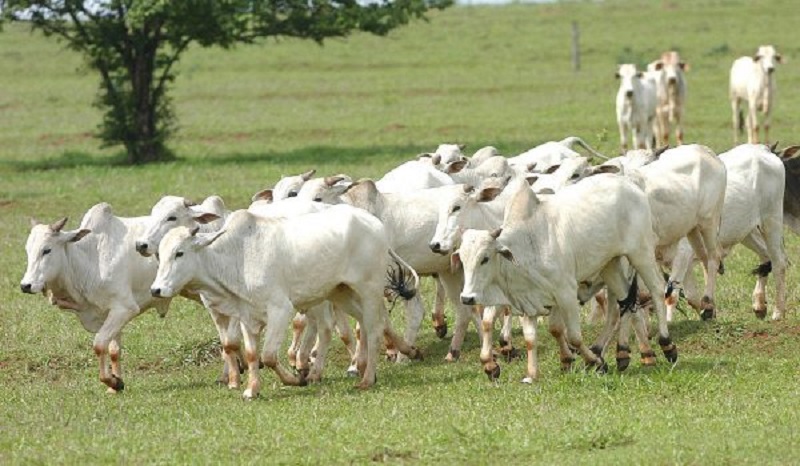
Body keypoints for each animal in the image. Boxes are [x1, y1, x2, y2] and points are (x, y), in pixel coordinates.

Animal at [19, 204, 170, 394]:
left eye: (47, 250)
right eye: (27, 250)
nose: (26, 285)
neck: (91, 260)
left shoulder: (124, 308)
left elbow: (99, 345)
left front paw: (112, 381)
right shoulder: (108, 314)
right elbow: (113, 350)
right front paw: (115, 384)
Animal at [152, 206, 424, 398]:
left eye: (179, 253)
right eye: (160, 255)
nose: (156, 289)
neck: (237, 257)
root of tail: (375, 224)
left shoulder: (280, 310)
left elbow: (269, 356)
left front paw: (296, 379)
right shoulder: (246, 316)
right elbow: (252, 354)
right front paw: (252, 389)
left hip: (368, 290)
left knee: (374, 328)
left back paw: (367, 378)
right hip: (341, 292)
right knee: (370, 324)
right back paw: (406, 352)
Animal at [450, 175, 676, 382]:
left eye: (485, 258)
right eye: (462, 259)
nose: (467, 298)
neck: (528, 244)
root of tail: (629, 184)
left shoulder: (565, 292)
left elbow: (573, 336)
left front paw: (595, 362)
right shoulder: (531, 301)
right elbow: (533, 337)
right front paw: (532, 374)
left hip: (640, 252)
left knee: (656, 289)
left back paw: (666, 345)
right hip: (610, 265)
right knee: (625, 303)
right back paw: (623, 355)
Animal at [668, 145, 788, 320]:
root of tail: (762, 149)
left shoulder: (682, 253)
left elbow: (673, 296)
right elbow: (689, 296)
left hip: (771, 220)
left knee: (779, 262)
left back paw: (778, 312)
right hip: (747, 231)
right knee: (765, 257)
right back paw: (759, 304)